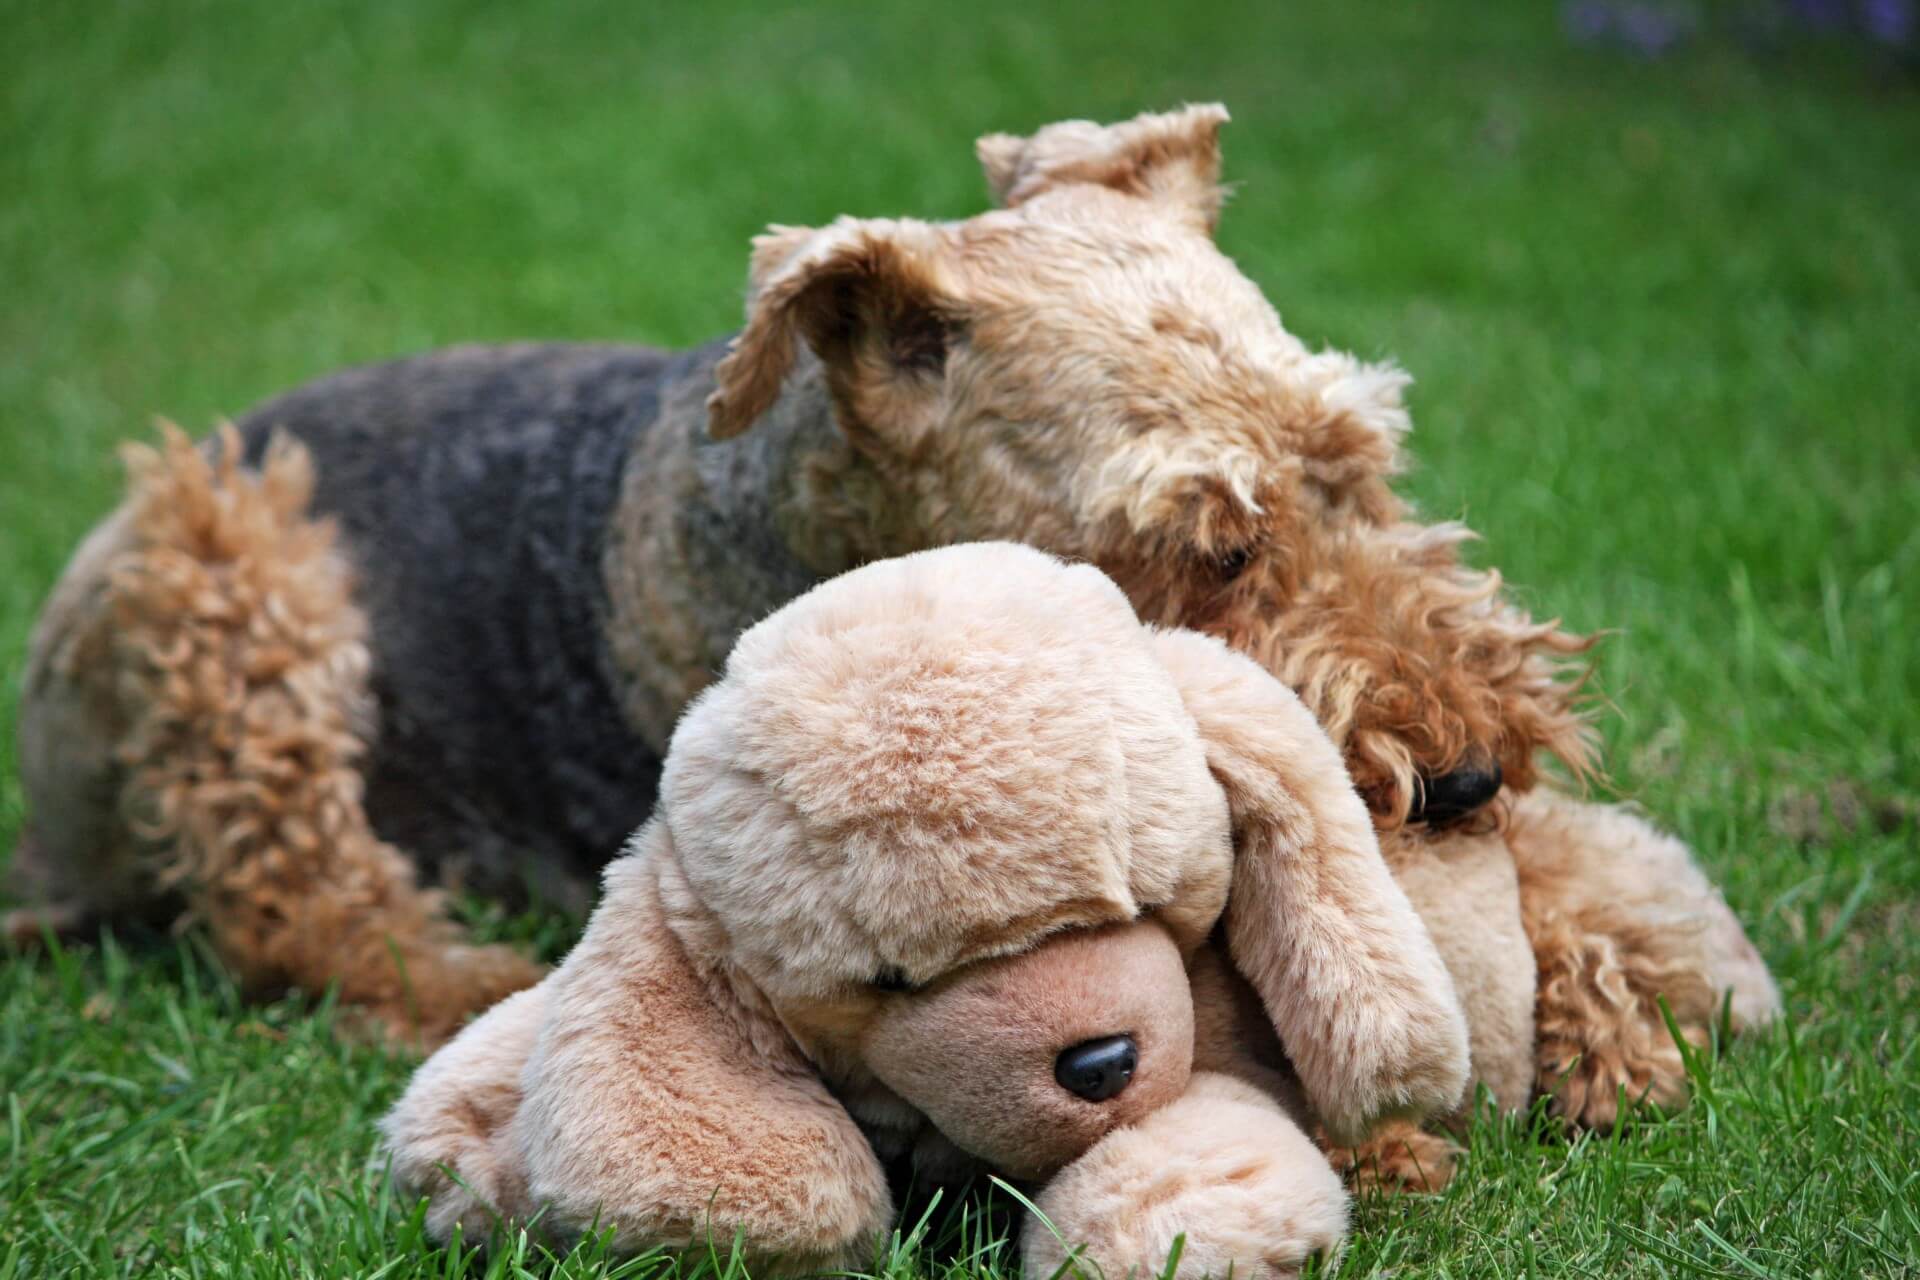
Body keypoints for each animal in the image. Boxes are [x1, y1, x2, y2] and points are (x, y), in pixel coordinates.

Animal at [11, 107, 1766, 1151]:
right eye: (1204, 549)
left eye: (1362, 464)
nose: (1468, 778)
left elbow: (1582, 875)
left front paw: (1635, 997)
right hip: (228, 574)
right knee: (291, 904)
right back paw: (459, 975)